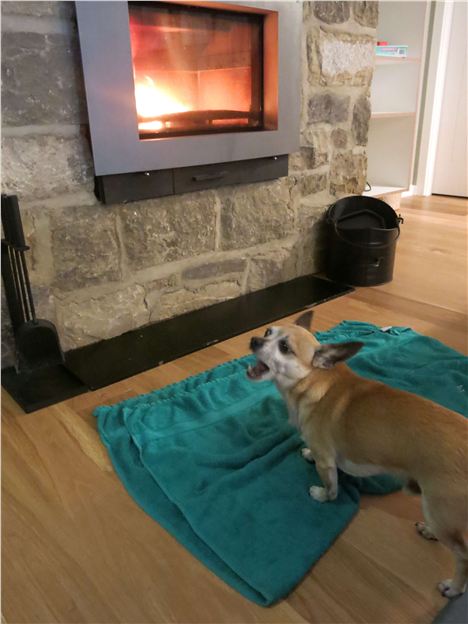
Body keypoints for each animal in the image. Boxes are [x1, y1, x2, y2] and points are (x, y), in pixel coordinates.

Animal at [247, 310, 466, 596]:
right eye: (267, 333)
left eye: (284, 347)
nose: (253, 340)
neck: (315, 379)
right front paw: (307, 453)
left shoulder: (326, 462)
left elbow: (331, 488)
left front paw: (322, 496)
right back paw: (429, 532)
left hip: (439, 510)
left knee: (462, 555)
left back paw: (454, 587)